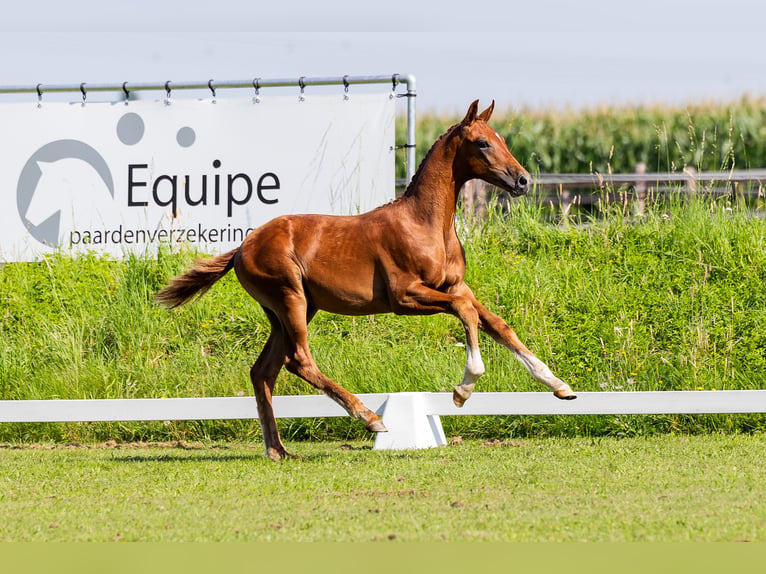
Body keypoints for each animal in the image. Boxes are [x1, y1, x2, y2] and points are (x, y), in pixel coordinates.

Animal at [158, 98, 576, 460]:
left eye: (502, 138)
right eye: (483, 142)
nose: (523, 181)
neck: (425, 224)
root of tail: (243, 247)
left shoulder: (456, 287)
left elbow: (498, 324)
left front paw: (561, 387)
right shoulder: (406, 298)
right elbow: (465, 313)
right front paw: (463, 390)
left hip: (287, 312)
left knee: (263, 371)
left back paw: (278, 450)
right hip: (290, 300)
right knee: (298, 361)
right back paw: (371, 419)